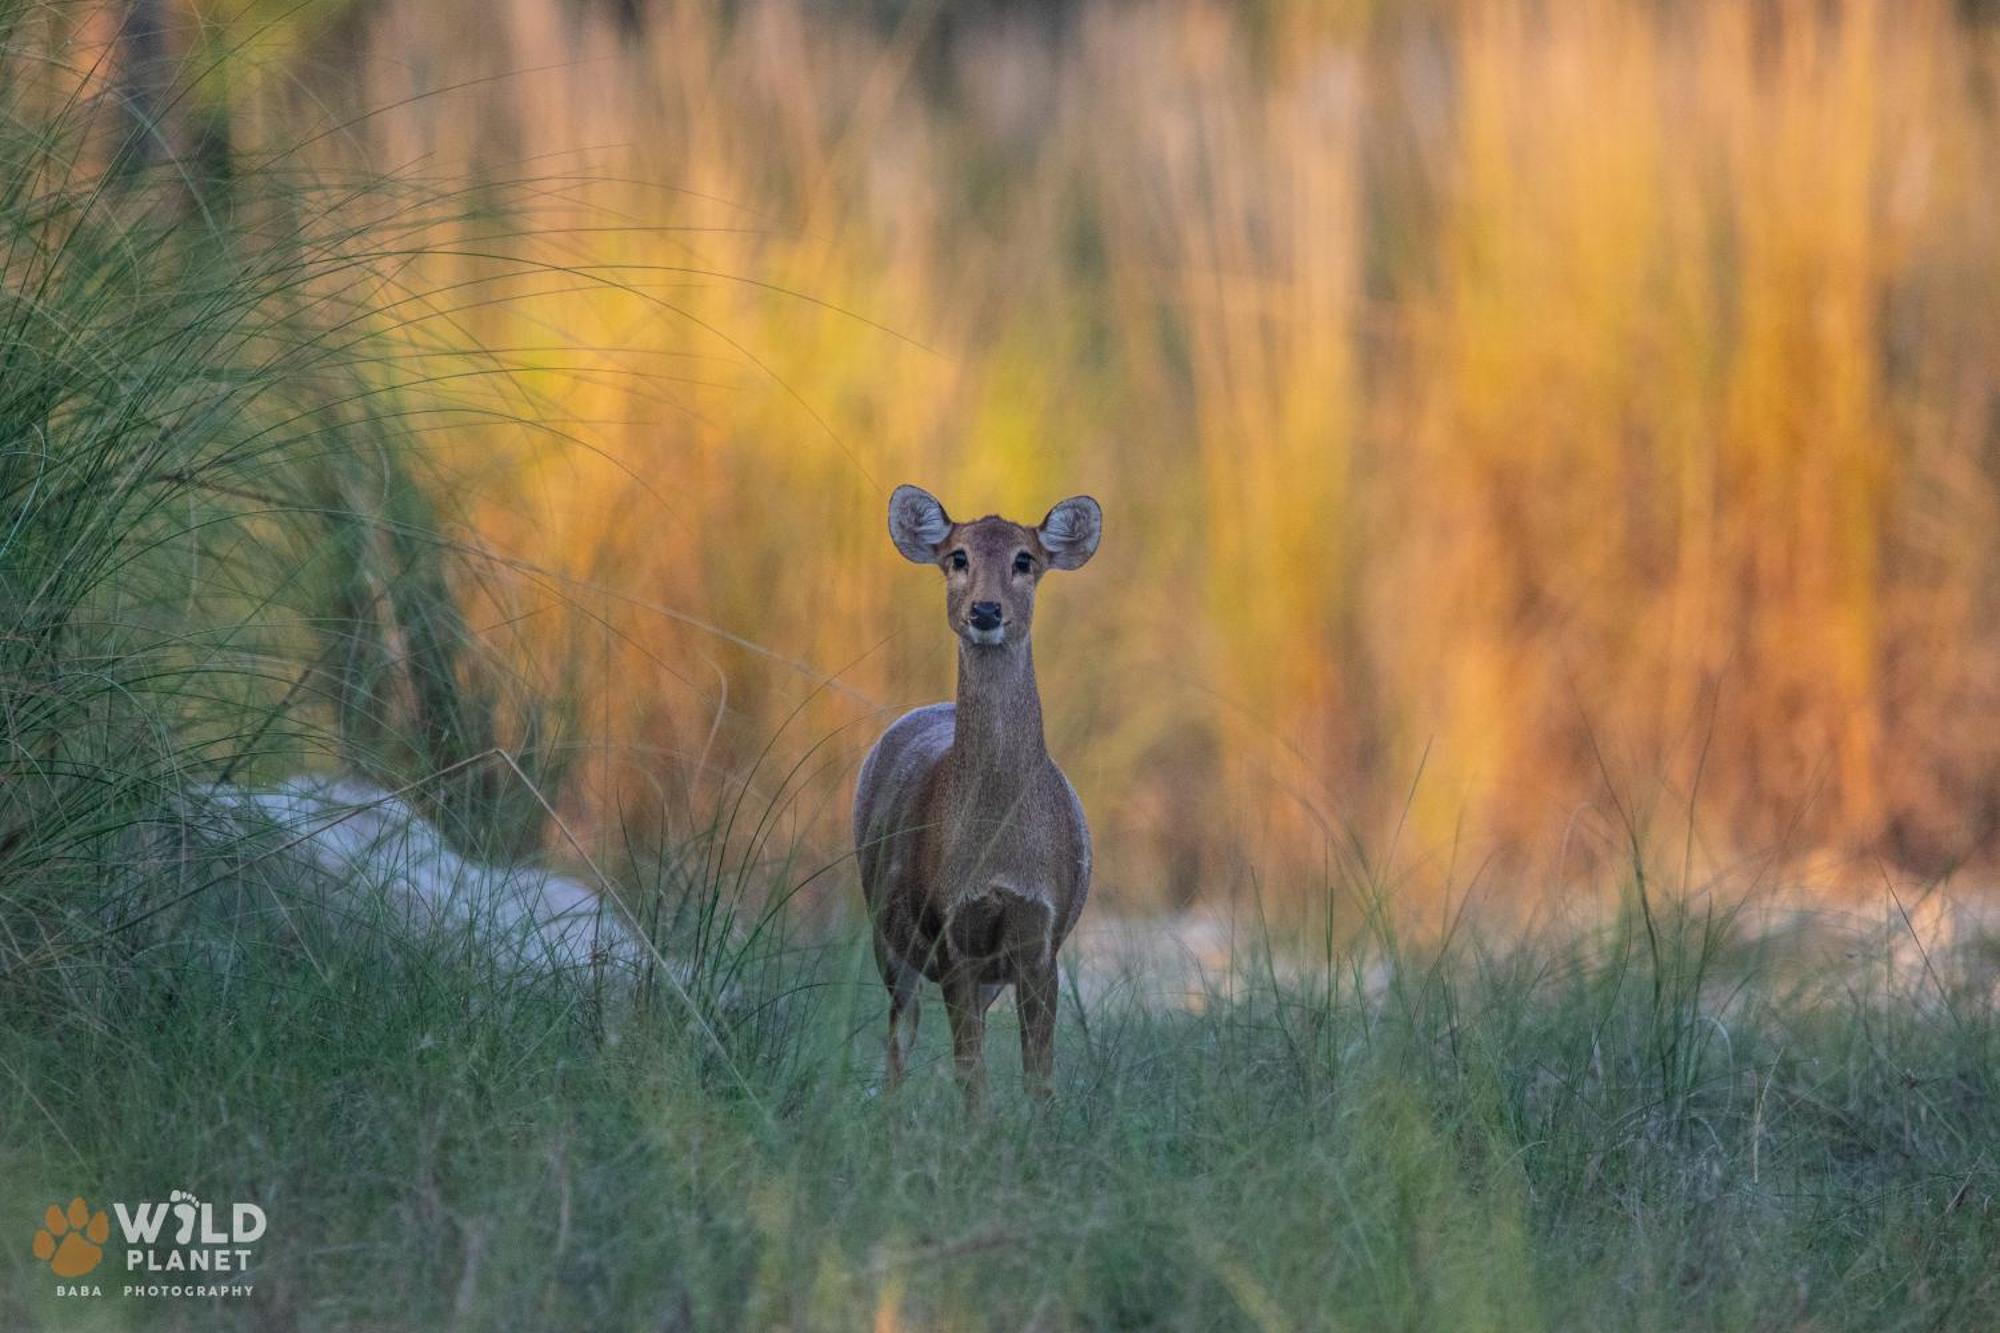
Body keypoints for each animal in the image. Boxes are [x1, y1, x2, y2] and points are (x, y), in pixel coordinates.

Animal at [852, 482, 1104, 1104]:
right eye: (958, 557)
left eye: (1025, 560)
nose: (985, 611)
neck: (1000, 849)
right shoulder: (954, 937)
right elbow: (972, 1071)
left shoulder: (1041, 940)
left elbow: (1039, 1074)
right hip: (887, 933)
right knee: (899, 1040)